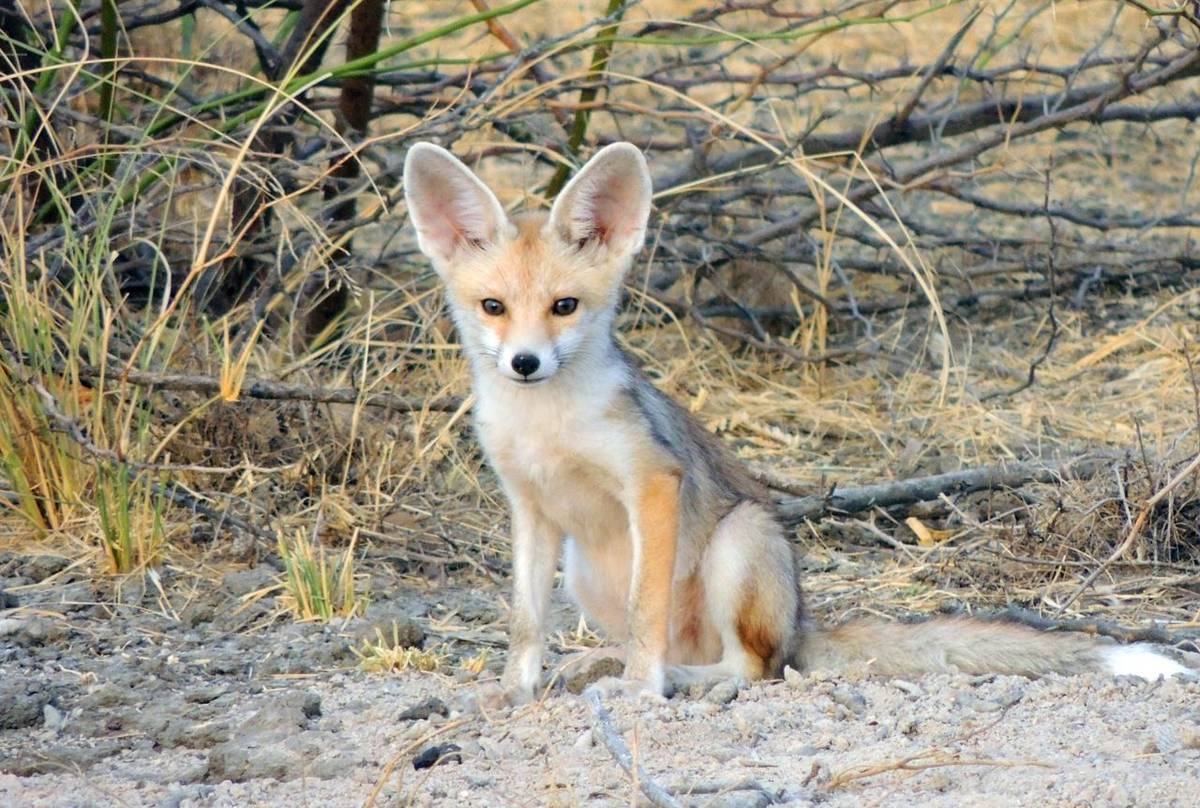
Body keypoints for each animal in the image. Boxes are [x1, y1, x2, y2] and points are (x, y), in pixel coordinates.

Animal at [400, 140, 1180, 701]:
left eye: (564, 306)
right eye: (494, 307)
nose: (525, 362)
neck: (547, 426)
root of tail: (803, 619)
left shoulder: (652, 481)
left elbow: (648, 611)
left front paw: (642, 690)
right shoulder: (530, 508)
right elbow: (525, 624)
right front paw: (512, 692)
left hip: (738, 543)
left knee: (753, 666)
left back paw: (674, 677)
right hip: (583, 569)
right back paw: (596, 665)